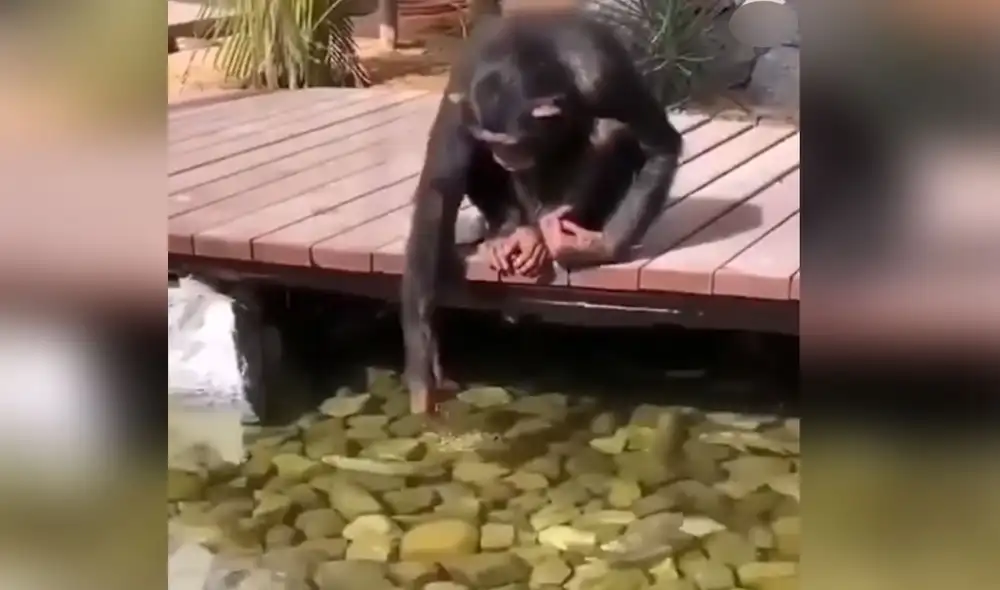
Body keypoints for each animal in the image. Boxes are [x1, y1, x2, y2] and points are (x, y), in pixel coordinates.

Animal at [400, 10, 683, 413]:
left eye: (512, 142)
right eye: (494, 141)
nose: (503, 153)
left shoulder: (606, 76)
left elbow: (659, 144)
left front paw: (601, 247)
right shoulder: (463, 87)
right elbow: (439, 187)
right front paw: (422, 367)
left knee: (611, 129)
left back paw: (549, 230)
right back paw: (510, 232)